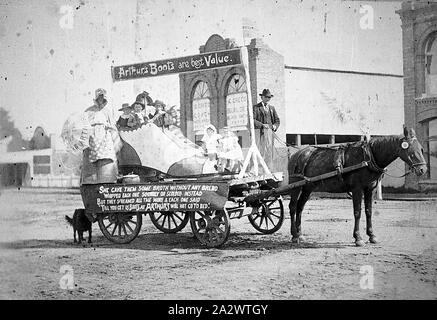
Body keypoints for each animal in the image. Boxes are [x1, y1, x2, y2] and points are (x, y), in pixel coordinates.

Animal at [286, 126, 426, 246]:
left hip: (308, 187)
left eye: (421, 148)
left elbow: (369, 211)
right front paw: (358, 238)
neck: (368, 157)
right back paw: (294, 235)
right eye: (409, 148)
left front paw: (372, 235)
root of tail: (296, 154)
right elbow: (357, 212)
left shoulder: (370, 189)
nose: (423, 169)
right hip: (295, 186)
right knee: (293, 207)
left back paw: (300, 234)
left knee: (300, 207)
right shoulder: (357, 189)